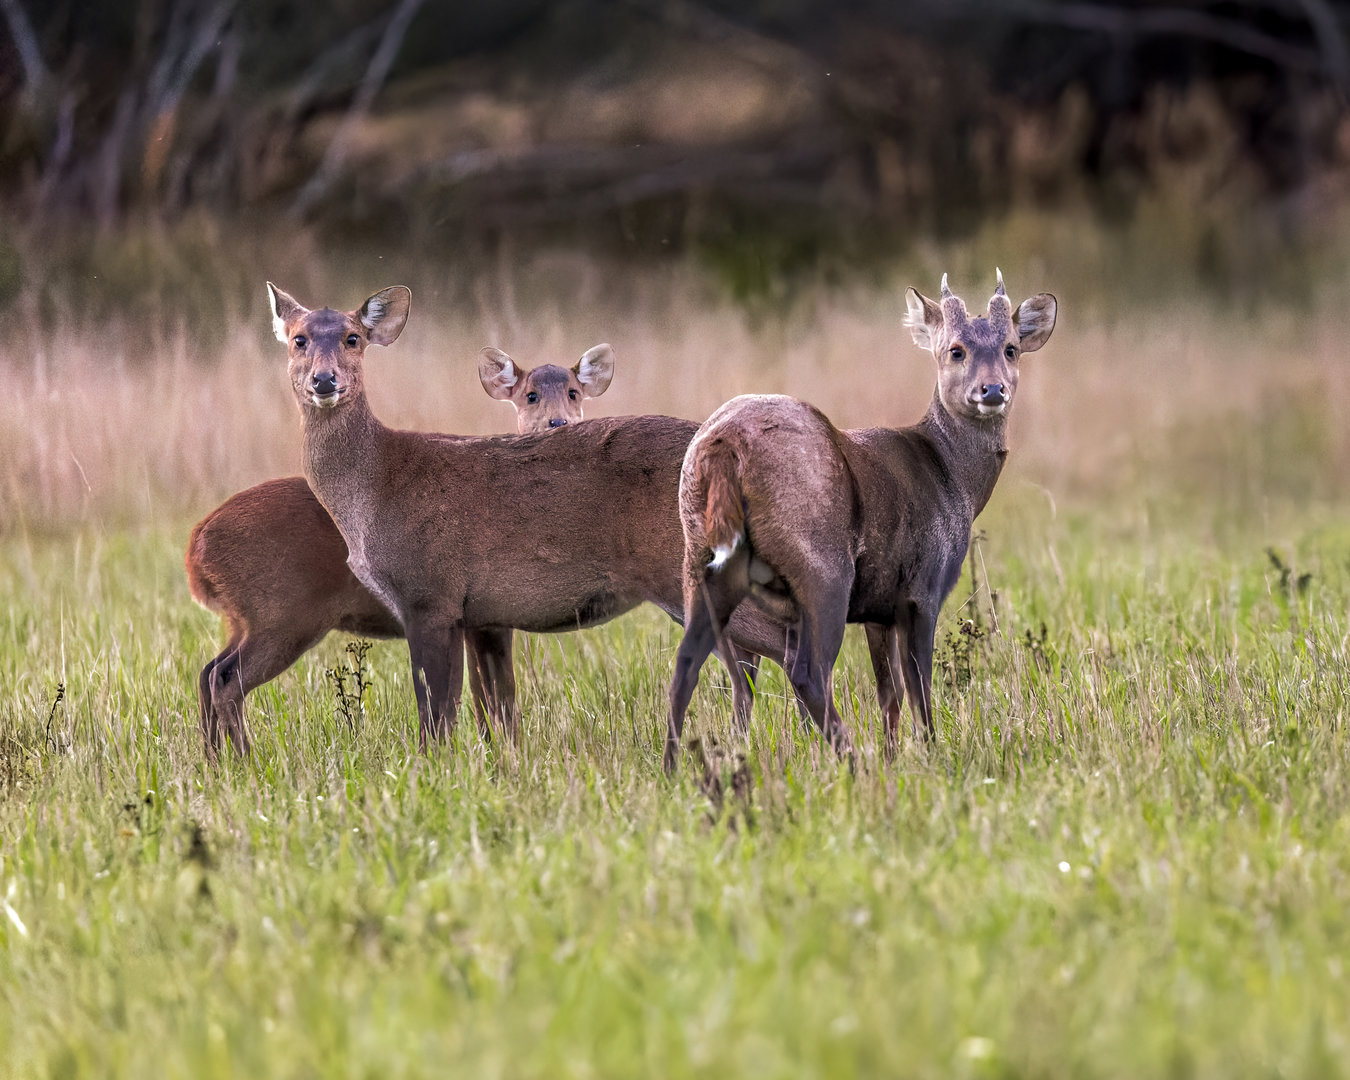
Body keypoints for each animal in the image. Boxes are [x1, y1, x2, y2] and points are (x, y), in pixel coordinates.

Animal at [186, 343, 615, 757]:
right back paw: (247, 760)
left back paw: (216, 761)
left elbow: (487, 699)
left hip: (248, 619)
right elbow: (491, 699)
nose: (560, 423)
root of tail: (198, 543)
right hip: (282, 615)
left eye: (574, 392)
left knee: (208, 672)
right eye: (531, 395)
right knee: (224, 678)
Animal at [265, 282, 767, 753]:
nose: (324, 380)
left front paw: (430, 767)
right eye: (298, 339)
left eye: (353, 338)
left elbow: (435, 710)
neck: (376, 487)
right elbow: (477, 708)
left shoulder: (430, 593)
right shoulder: (472, 612)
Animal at [664, 272, 1057, 770]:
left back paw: (671, 769)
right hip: (822, 566)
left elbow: (889, 693)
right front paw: (930, 754)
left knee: (685, 664)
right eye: (955, 350)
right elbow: (919, 686)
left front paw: (894, 756)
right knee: (808, 673)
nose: (991, 391)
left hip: (699, 561)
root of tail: (723, 446)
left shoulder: (878, 607)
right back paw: (852, 760)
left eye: (1010, 348)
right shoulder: (922, 588)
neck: (952, 478)